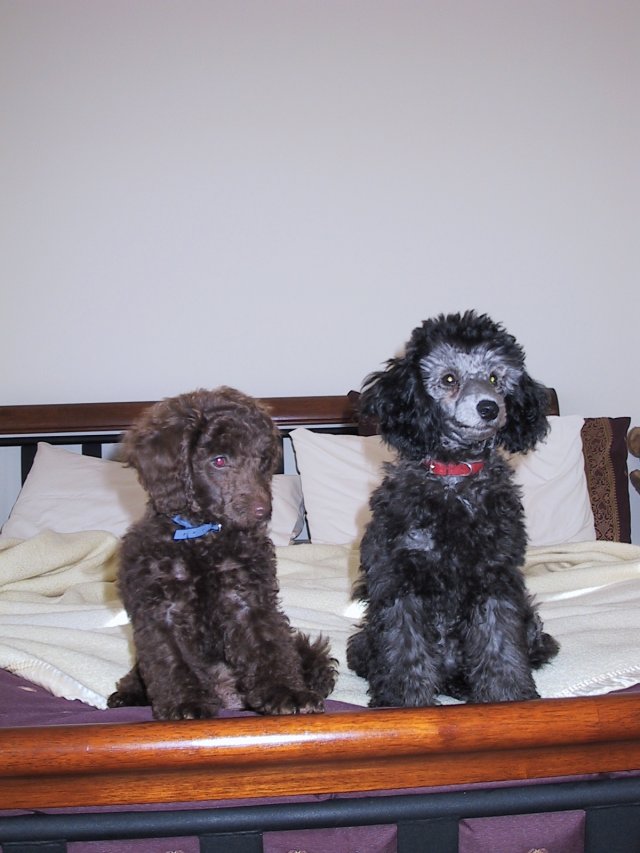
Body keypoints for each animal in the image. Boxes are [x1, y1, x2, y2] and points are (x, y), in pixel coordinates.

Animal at [108, 386, 336, 719]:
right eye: (219, 461)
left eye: (262, 459)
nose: (263, 511)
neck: (202, 539)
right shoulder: (161, 609)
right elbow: (172, 659)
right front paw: (186, 703)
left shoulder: (248, 598)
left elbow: (269, 645)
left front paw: (287, 693)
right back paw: (127, 694)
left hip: (306, 651)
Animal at [346, 311, 559, 707]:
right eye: (448, 379)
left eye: (494, 378)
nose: (489, 407)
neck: (455, 477)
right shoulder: (399, 580)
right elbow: (404, 650)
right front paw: (403, 704)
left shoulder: (495, 577)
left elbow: (500, 645)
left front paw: (509, 699)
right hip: (364, 639)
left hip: (530, 622)